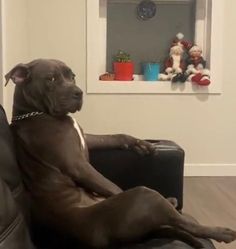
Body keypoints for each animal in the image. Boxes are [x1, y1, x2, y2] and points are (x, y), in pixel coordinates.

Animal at [5, 59, 236, 248]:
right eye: (51, 78)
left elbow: (113, 137)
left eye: (72, 76)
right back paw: (219, 231)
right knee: (181, 221)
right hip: (144, 195)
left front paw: (140, 144)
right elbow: (114, 187)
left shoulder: (87, 138)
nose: (78, 92)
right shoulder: (78, 165)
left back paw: (171, 200)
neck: (33, 112)